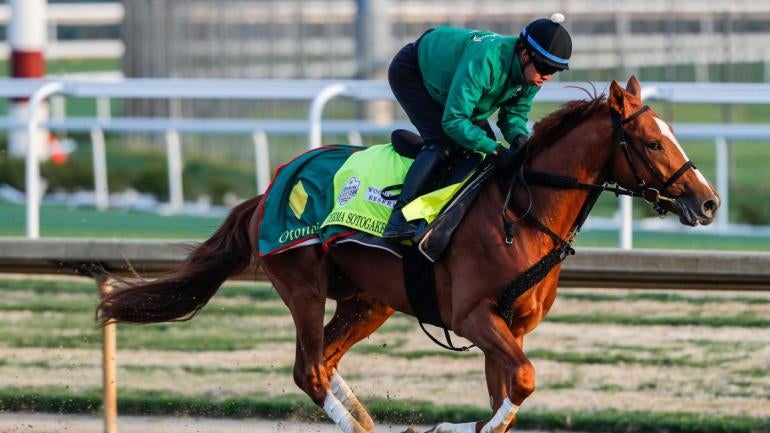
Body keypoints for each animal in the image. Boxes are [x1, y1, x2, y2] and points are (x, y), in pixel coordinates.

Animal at [97, 76, 719, 433]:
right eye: (652, 142)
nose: (708, 202)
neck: (522, 212)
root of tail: (271, 186)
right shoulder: (474, 316)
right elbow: (522, 381)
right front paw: (450, 427)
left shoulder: (509, 326)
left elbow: (509, 390)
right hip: (302, 283)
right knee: (310, 372)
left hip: (368, 300)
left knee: (326, 362)